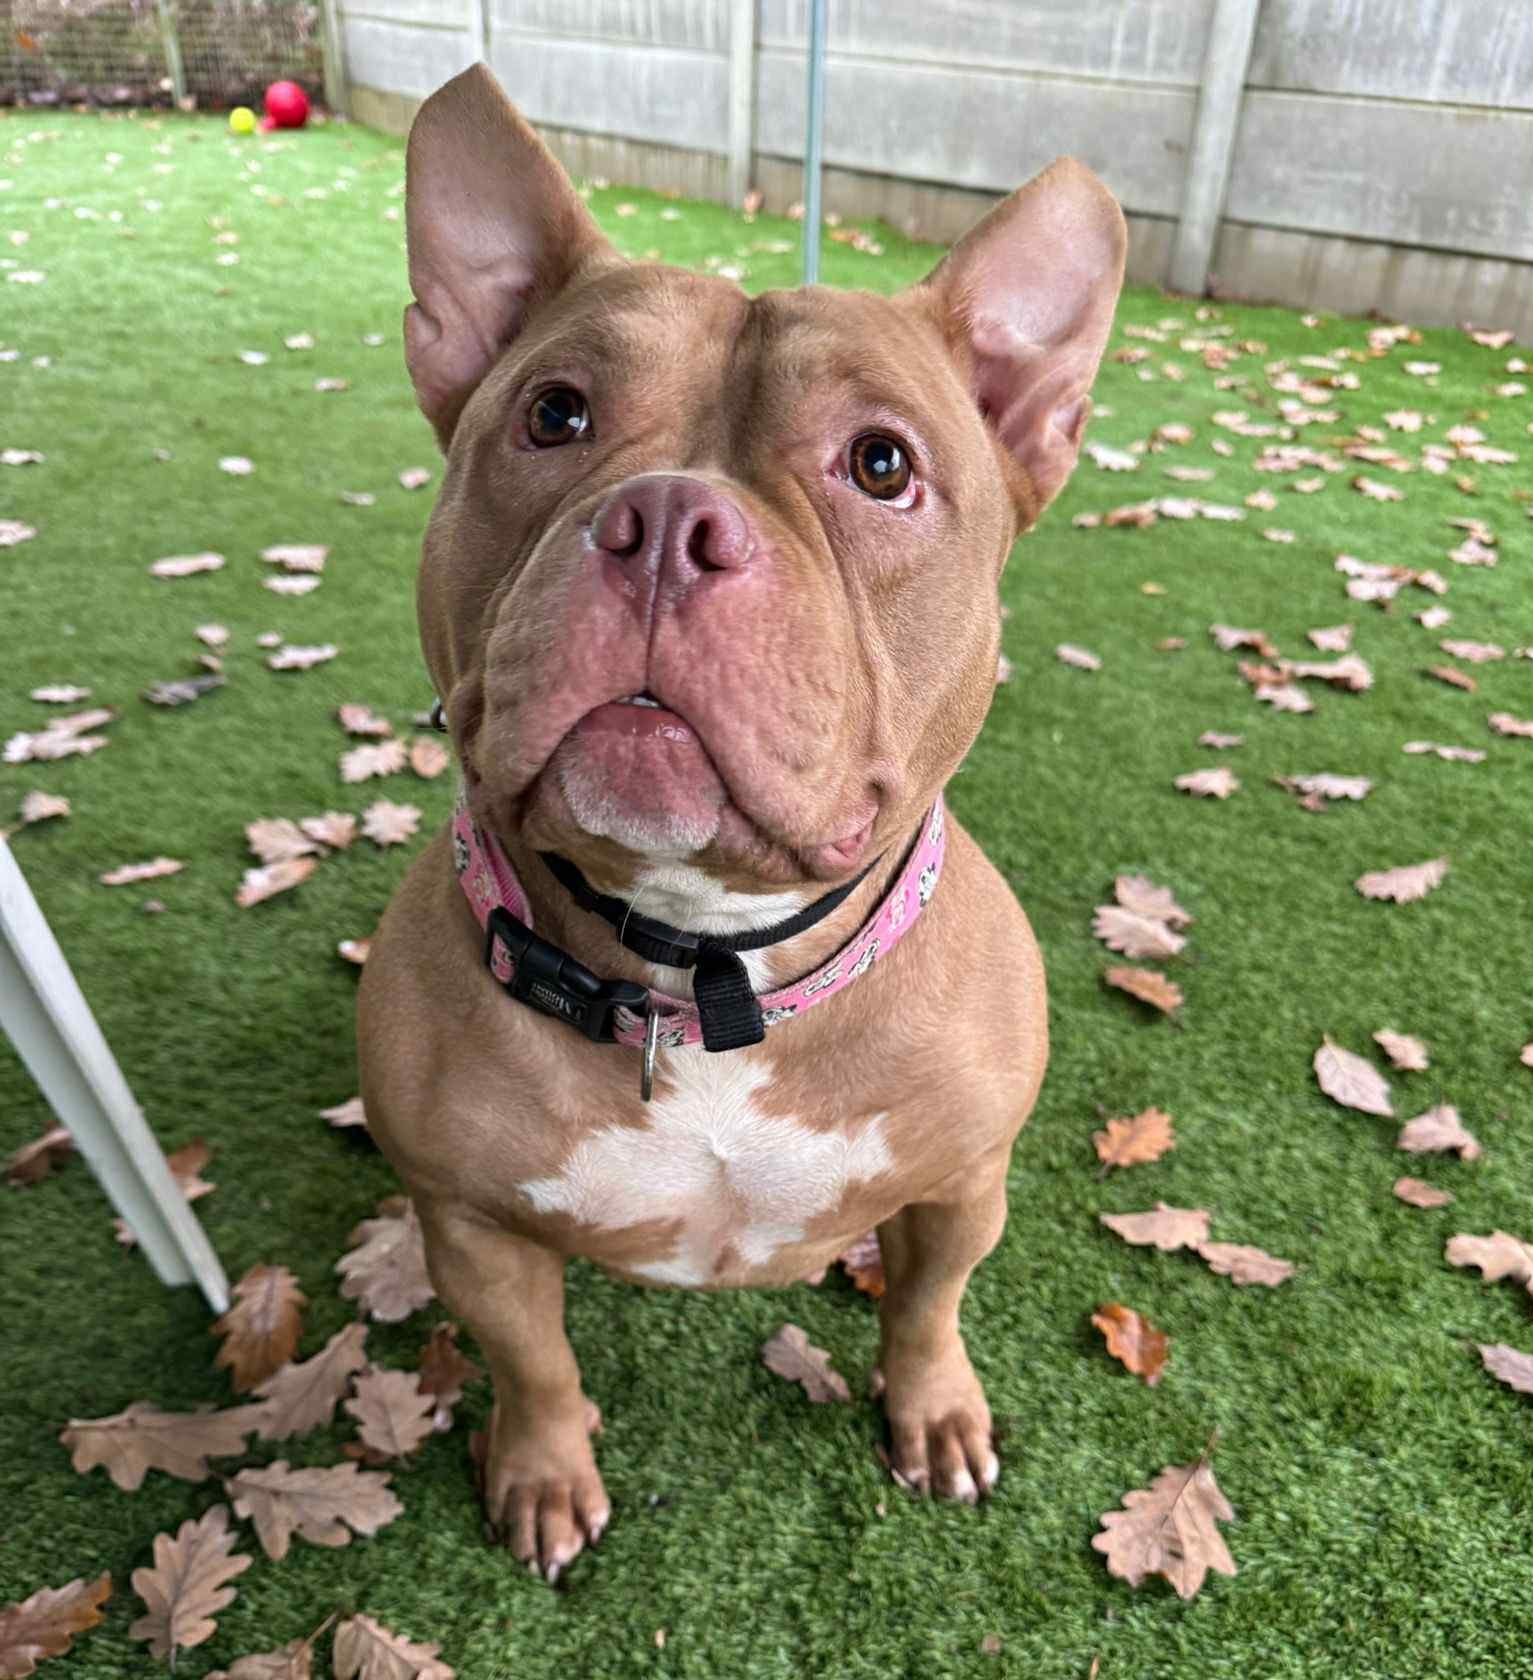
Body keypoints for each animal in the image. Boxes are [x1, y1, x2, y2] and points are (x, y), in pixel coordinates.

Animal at [358, 62, 1125, 1582]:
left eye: (880, 465)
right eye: (554, 416)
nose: (664, 521)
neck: (700, 964)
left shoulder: (966, 1184)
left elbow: (929, 1306)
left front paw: (932, 1410)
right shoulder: (468, 1227)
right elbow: (533, 1363)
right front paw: (542, 1474)